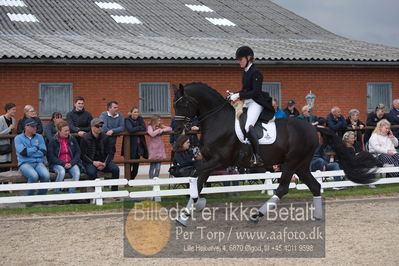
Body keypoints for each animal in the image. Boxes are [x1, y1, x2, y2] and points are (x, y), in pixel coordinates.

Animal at [173, 82, 380, 225]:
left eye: (182, 104)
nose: (176, 129)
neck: (218, 122)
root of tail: (313, 127)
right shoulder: (209, 161)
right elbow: (198, 180)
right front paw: (185, 215)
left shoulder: (220, 161)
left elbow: (194, 176)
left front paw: (197, 204)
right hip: (301, 164)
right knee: (314, 186)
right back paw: (317, 216)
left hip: (291, 162)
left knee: (283, 188)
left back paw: (256, 215)